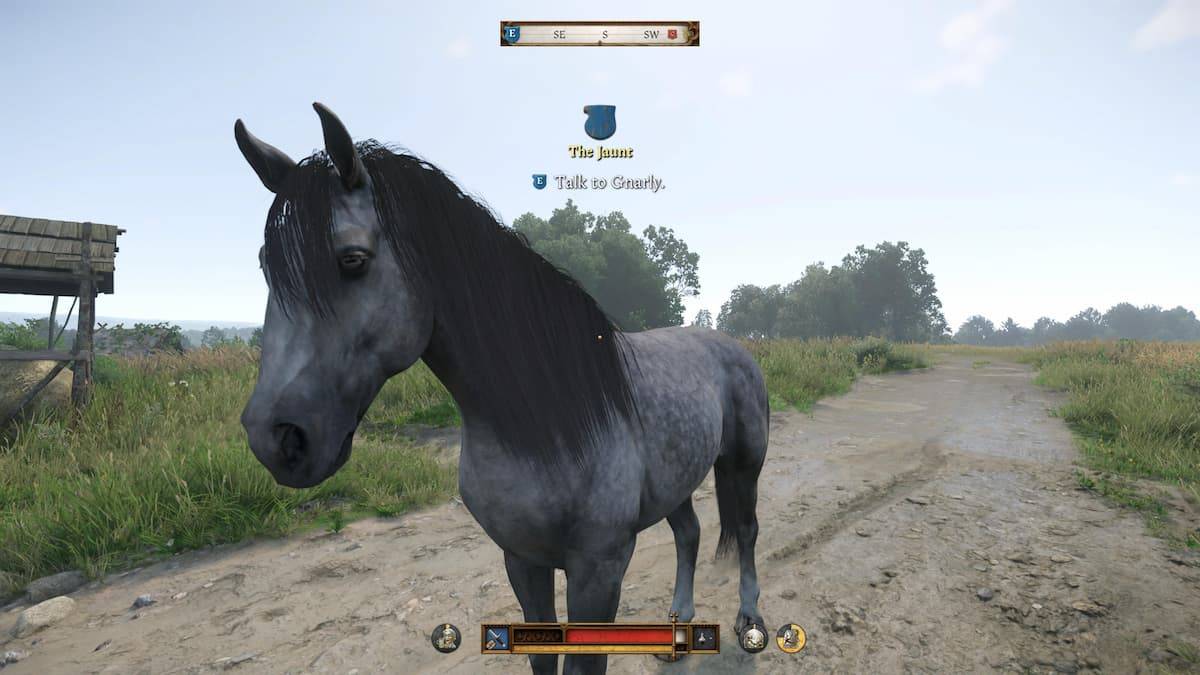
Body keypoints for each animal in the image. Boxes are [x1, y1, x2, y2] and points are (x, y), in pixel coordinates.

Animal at [235, 103, 769, 675]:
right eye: (265, 265)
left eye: (352, 259)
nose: (276, 438)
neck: (545, 424)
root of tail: (732, 346)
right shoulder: (522, 561)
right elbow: (541, 656)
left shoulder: (599, 570)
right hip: (679, 478)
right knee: (688, 533)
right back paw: (679, 628)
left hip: (743, 465)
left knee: (747, 532)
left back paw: (749, 621)